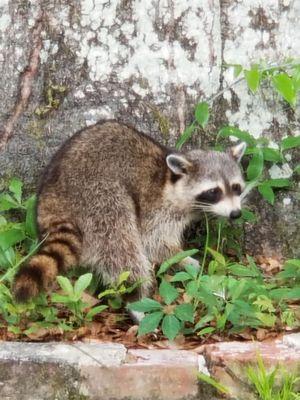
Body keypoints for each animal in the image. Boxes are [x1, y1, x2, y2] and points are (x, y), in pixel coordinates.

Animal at [12, 122, 245, 310]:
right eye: (214, 191)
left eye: (236, 187)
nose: (236, 213)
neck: (169, 182)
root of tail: (53, 199)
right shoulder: (155, 207)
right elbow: (152, 242)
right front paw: (184, 259)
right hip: (95, 193)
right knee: (119, 240)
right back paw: (135, 295)